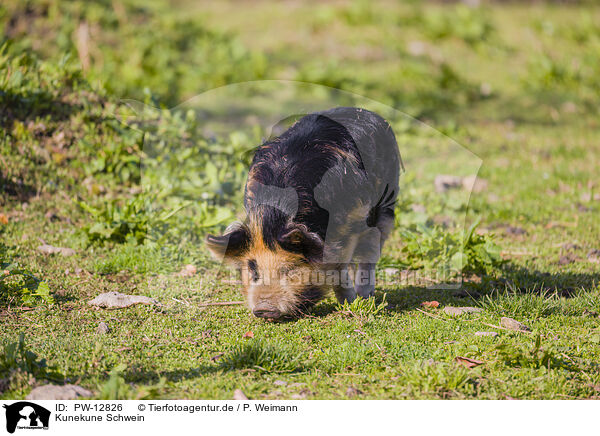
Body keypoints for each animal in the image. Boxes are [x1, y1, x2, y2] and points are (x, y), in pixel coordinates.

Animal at [204, 107, 400, 320]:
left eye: (290, 269)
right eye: (253, 270)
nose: (264, 309)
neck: (273, 217)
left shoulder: (348, 226)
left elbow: (339, 270)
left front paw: (349, 304)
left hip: (386, 206)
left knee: (370, 253)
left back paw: (366, 298)